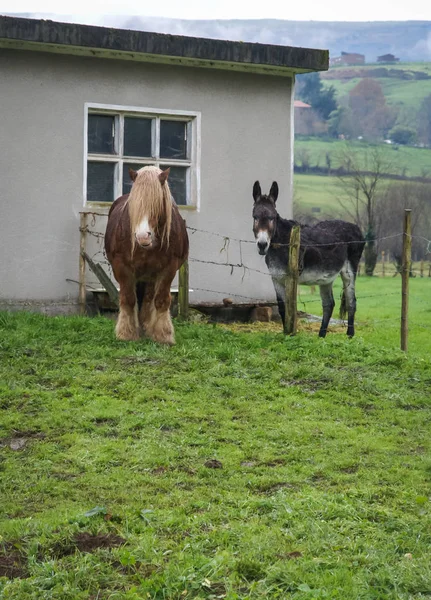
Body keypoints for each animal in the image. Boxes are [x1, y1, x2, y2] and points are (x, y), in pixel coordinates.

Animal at [105, 168, 189, 346]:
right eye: (134, 205)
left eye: (157, 204)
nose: (143, 236)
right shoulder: (122, 268)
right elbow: (128, 299)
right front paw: (126, 333)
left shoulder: (168, 269)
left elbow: (161, 300)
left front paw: (163, 335)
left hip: (150, 274)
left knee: (149, 298)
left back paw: (147, 327)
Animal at [251, 180, 366, 338]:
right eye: (255, 217)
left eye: (272, 218)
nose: (262, 245)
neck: (282, 241)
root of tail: (355, 226)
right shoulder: (276, 278)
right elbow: (282, 308)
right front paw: (285, 333)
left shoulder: (292, 276)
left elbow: (291, 307)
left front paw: (291, 333)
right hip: (326, 277)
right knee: (329, 304)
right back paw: (321, 335)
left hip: (350, 269)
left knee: (351, 301)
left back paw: (350, 335)